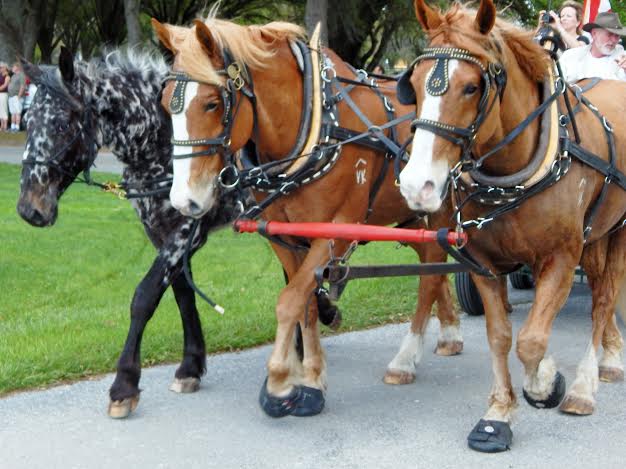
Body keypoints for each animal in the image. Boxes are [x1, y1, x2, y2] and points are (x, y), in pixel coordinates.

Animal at [17, 47, 246, 418]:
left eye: (63, 124)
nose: (29, 209)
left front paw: (123, 385)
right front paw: (190, 366)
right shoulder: (161, 232)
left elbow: (145, 296)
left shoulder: (187, 231)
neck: (167, 143)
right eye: (27, 123)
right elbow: (182, 294)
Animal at [151, 14, 464, 416]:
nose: (184, 199)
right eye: (164, 104)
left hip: (439, 209)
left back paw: (405, 359)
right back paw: (450, 331)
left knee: (430, 273)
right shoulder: (284, 236)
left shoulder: (336, 230)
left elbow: (289, 301)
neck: (314, 128)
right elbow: (305, 305)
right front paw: (312, 376)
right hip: (410, 217)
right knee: (432, 261)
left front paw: (281, 381)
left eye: (211, 103)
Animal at [398, 0, 624, 454]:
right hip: (596, 235)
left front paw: (547, 384)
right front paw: (498, 413)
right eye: (412, 83)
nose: (417, 185)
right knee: (599, 290)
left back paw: (585, 386)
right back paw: (608, 358)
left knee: (606, 297)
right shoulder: (483, 263)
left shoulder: (560, 257)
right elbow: (501, 335)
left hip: (620, 229)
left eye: (472, 87)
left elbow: (533, 340)